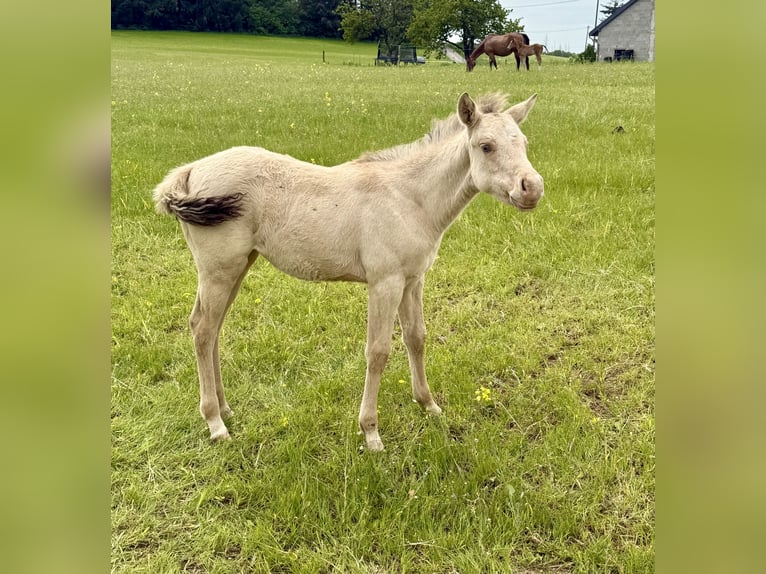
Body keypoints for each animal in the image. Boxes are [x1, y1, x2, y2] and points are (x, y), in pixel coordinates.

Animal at [152, 93, 544, 452]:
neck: (409, 198)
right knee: (203, 330)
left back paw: (226, 408)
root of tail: (191, 171)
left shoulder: (412, 280)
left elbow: (416, 338)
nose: (533, 188)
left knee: (212, 329)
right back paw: (215, 423)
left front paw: (429, 405)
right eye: (486, 146)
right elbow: (378, 351)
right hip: (218, 270)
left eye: (524, 143)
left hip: (238, 267)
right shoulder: (385, 283)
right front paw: (371, 433)